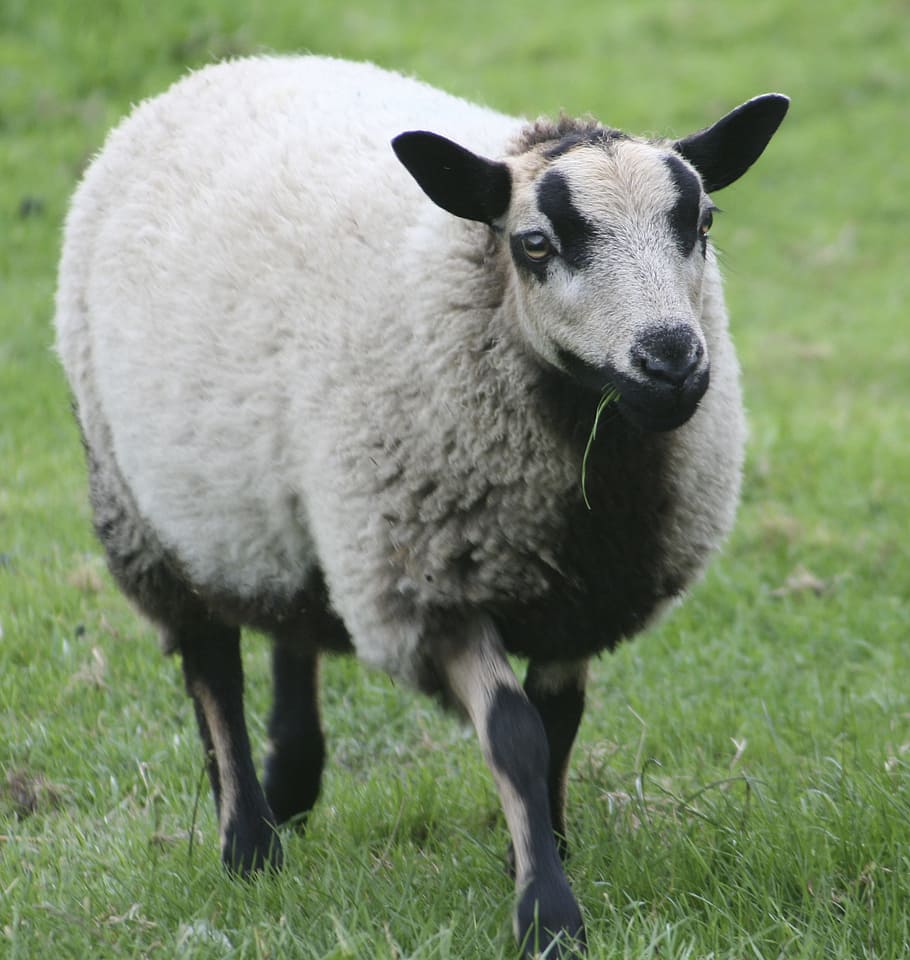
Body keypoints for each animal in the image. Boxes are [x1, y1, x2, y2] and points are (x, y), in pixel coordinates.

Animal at [54, 54, 788, 956]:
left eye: (703, 221)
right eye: (534, 244)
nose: (672, 361)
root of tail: (223, 68)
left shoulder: (580, 596)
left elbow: (560, 720)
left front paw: (545, 848)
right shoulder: (433, 591)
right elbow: (515, 734)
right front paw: (548, 913)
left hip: (288, 505)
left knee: (293, 624)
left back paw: (290, 785)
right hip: (143, 507)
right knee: (210, 663)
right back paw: (248, 845)